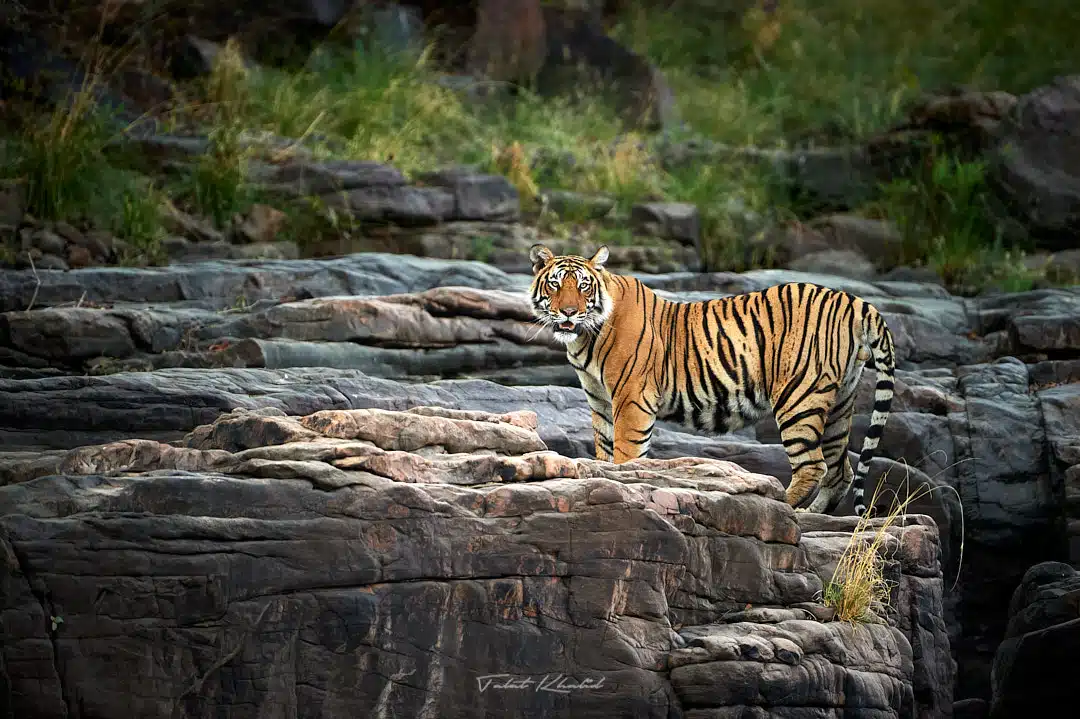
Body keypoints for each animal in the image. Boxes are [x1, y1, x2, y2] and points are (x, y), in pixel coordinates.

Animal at [527, 243, 897, 517]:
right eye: (555, 284)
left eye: (583, 286)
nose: (569, 312)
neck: (585, 337)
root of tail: (855, 300)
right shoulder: (601, 401)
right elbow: (604, 452)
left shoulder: (631, 399)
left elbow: (626, 454)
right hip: (839, 403)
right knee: (840, 469)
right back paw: (813, 514)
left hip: (798, 396)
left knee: (812, 465)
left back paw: (783, 506)